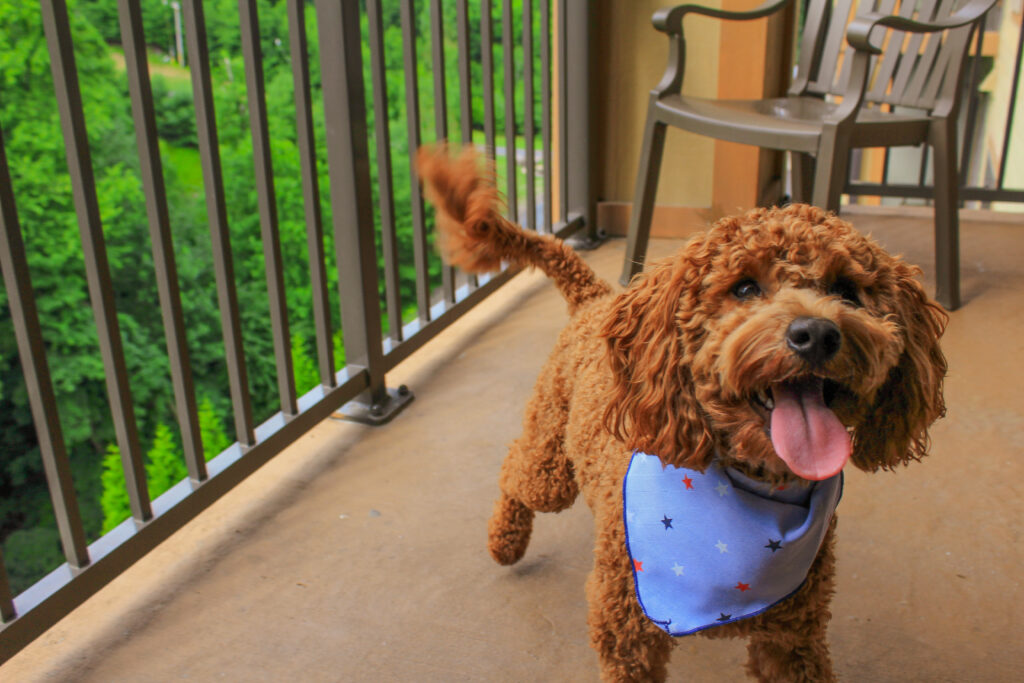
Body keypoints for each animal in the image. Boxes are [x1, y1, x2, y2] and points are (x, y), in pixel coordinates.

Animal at [417, 147, 950, 679]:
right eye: (744, 288)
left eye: (847, 290)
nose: (817, 334)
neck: (751, 491)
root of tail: (596, 299)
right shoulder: (626, 631)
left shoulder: (793, 639)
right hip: (551, 455)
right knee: (518, 473)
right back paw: (503, 541)